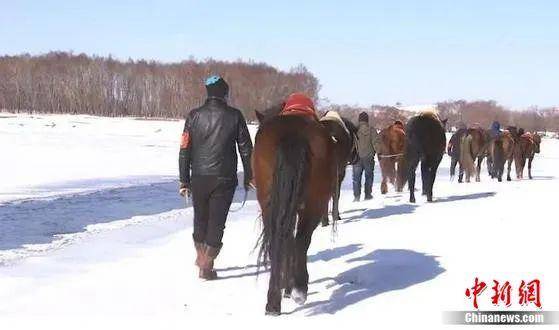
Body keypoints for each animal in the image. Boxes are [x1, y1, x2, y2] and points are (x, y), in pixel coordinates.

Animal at [254, 94, 336, 316]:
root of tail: (293, 134)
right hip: (315, 203)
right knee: (301, 240)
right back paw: (298, 288)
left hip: (269, 203)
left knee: (279, 238)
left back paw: (274, 301)